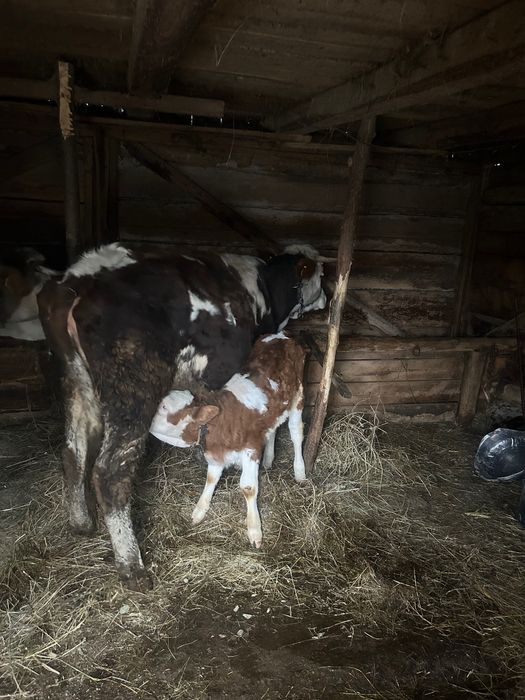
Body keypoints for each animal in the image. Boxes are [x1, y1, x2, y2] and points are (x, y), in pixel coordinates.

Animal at [150, 332, 307, 548]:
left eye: (164, 407)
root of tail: (282, 335)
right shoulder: (216, 456)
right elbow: (211, 479)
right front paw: (199, 510)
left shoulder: (251, 449)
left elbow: (248, 487)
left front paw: (254, 529)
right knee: (273, 428)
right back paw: (268, 459)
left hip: (298, 396)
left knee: (296, 432)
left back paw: (300, 471)